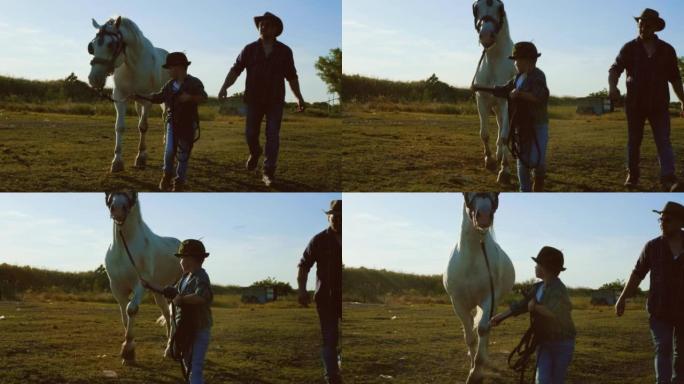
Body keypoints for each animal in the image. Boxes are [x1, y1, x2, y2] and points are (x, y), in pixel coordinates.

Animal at [87, 16, 170, 172]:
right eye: (91, 46)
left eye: (111, 45)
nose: (94, 79)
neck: (133, 66)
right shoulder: (120, 97)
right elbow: (120, 127)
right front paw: (117, 161)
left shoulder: (148, 99)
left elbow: (143, 127)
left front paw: (141, 157)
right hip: (137, 101)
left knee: (166, 118)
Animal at [103, 192, 180, 366]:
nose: (118, 208)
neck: (125, 247)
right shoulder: (116, 287)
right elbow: (124, 317)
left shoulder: (140, 283)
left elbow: (131, 309)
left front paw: (128, 352)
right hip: (160, 292)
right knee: (167, 314)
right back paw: (168, 347)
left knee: (173, 317)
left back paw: (169, 350)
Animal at [444, 194, 512, 382]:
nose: (484, 216)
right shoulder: (458, 302)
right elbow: (469, 336)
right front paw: (472, 364)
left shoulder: (489, 298)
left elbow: (482, 329)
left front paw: (476, 372)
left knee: (487, 328)